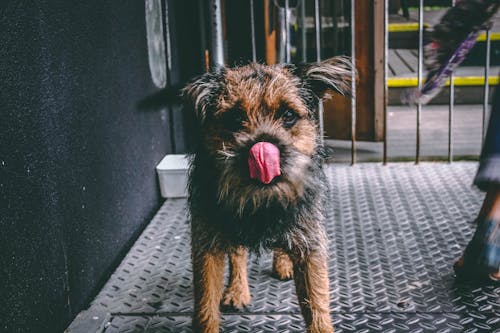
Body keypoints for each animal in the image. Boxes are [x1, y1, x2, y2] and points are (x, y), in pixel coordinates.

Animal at [183, 57, 352, 332]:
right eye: (235, 118)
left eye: (288, 115)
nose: (262, 151)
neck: (262, 202)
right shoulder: (207, 246)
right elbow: (206, 304)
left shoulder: (309, 245)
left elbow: (316, 303)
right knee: (237, 252)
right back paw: (238, 290)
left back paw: (282, 263)